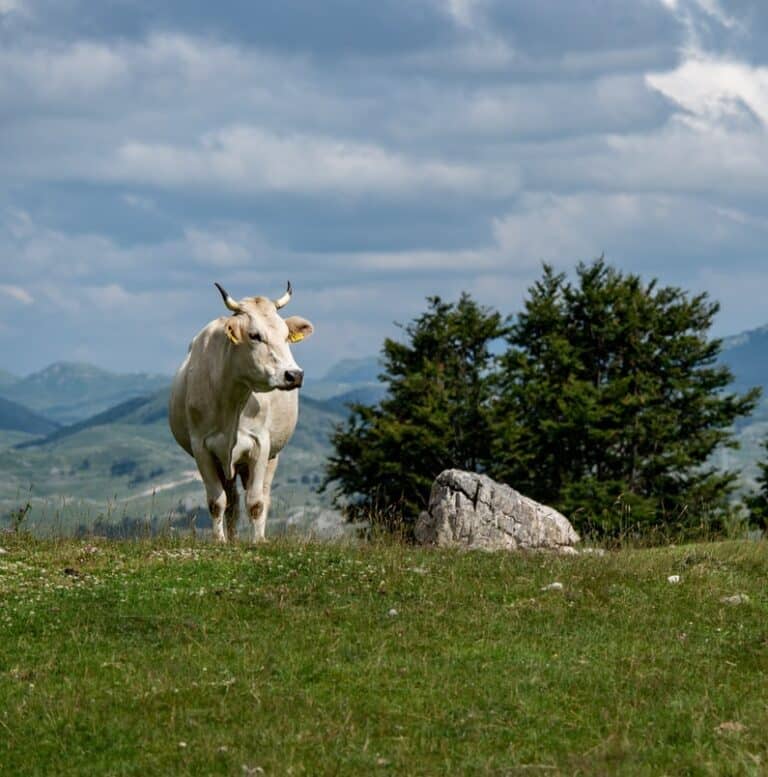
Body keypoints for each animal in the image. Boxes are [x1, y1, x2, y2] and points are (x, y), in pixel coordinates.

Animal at [168, 282, 312, 544]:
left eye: (286, 334)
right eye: (255, 335)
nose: (294, 375)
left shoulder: (261, 444)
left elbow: (256, 502)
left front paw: (258, 541)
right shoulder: (201, 447)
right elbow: (217, 502)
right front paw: (220, 541)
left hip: (272, 456)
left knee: (263, 496)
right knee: (232, 502)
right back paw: (233, 538)